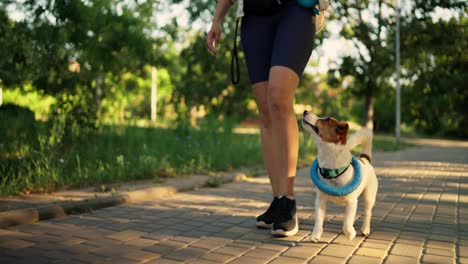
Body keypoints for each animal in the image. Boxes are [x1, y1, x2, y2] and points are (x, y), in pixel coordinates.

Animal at [302, 110, 378, 241]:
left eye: (327, 120)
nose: (305, 111)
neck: (332, 172)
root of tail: (365, 159)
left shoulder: (352, 202)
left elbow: (347, 223)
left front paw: (350, 233)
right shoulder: (320, 200)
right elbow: (319, 219)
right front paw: (315, 234)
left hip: (369, 196)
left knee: (368, 213)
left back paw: (365, 229)